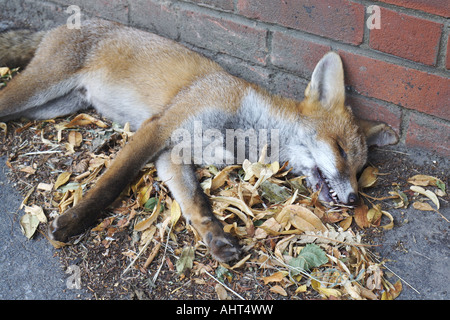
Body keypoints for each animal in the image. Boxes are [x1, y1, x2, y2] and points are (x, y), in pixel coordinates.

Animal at [0, 18, 398, 262]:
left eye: (360, 168)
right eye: (340, 150)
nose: (353, 198)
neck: (243, 131)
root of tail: (57, 27)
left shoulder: (173, 154)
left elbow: (195, 203)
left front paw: (216, 241)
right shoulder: (159, 128)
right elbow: (110, 184)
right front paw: (72, 222)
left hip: (50, 108)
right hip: (36, 91)